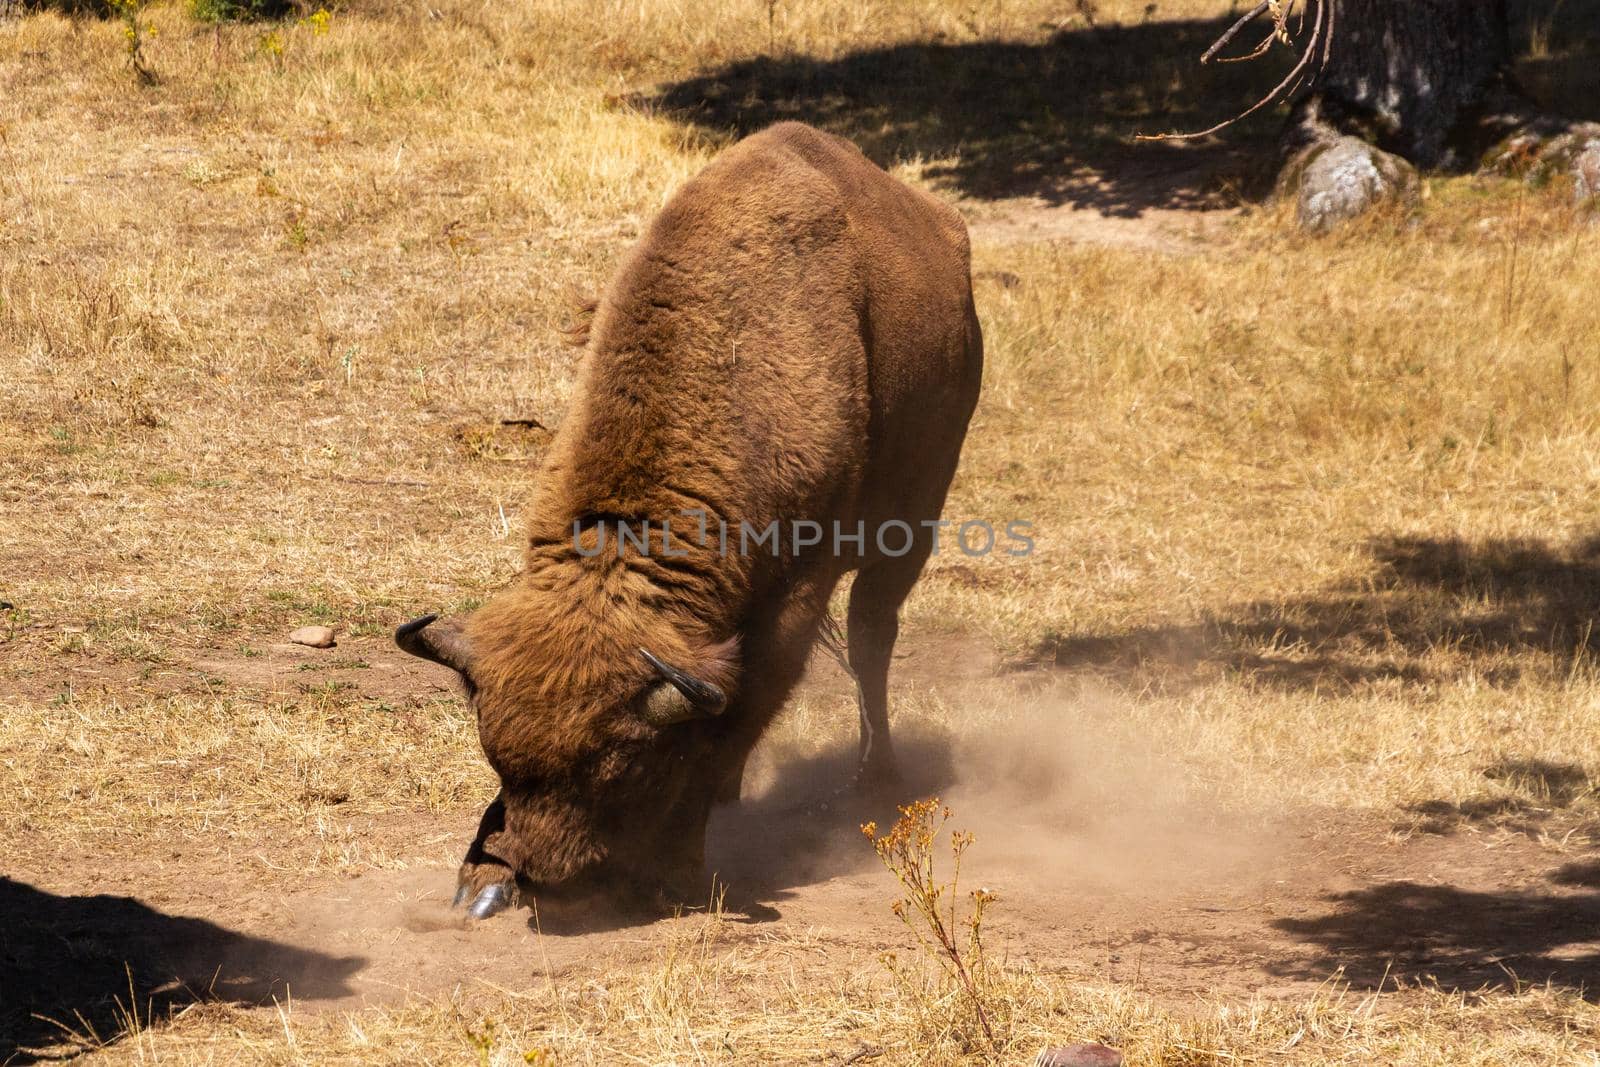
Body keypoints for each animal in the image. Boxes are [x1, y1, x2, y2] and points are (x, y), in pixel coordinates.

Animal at [393, 123, 979, 921]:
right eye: (497, 757)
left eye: (622, 768)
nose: (540, 868)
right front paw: (481, 877)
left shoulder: (793, 598)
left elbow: (742, 713)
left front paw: (673, 865)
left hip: (914, 520)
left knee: (871, 634)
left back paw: (875, 779)